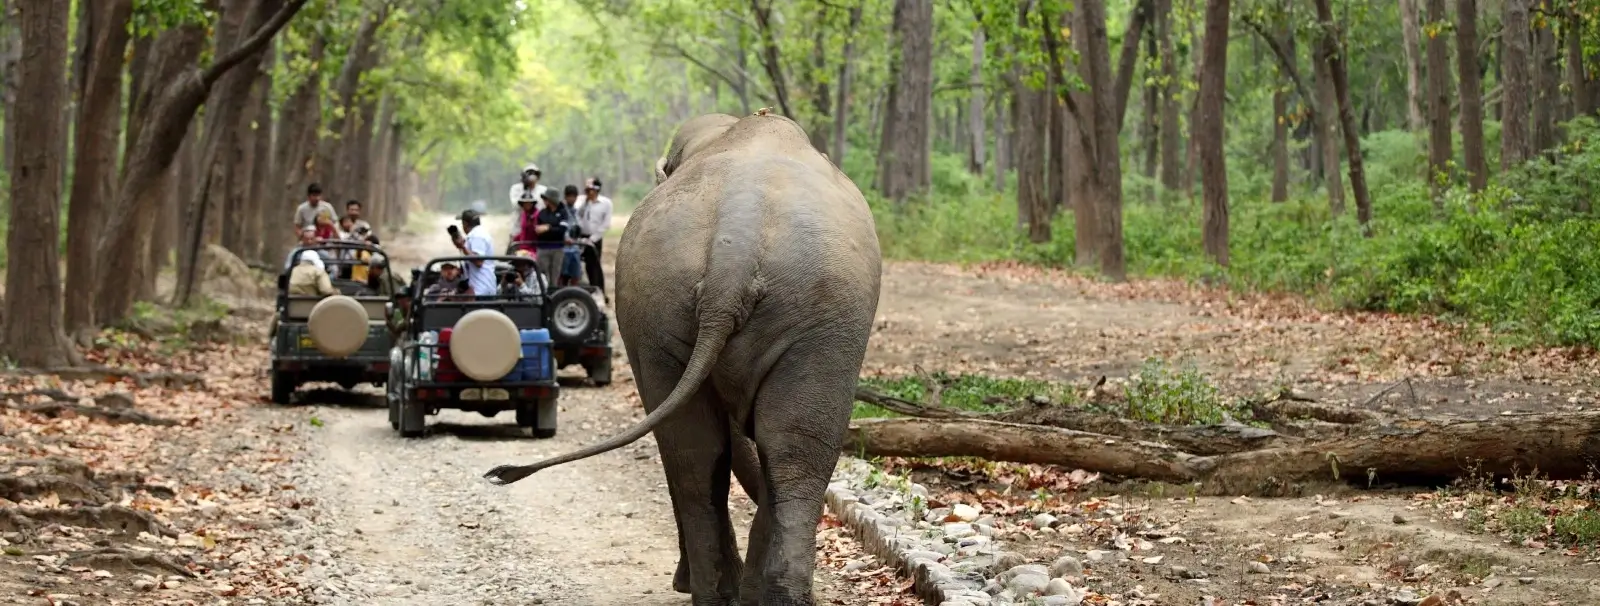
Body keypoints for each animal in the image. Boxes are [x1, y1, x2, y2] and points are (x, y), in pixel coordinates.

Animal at [483, 110, 889, 606]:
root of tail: (734, 257)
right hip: (742, 309)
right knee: (763, 449)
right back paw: (746, 594)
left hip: (797, 308)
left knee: (722, 449)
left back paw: (732, 593)